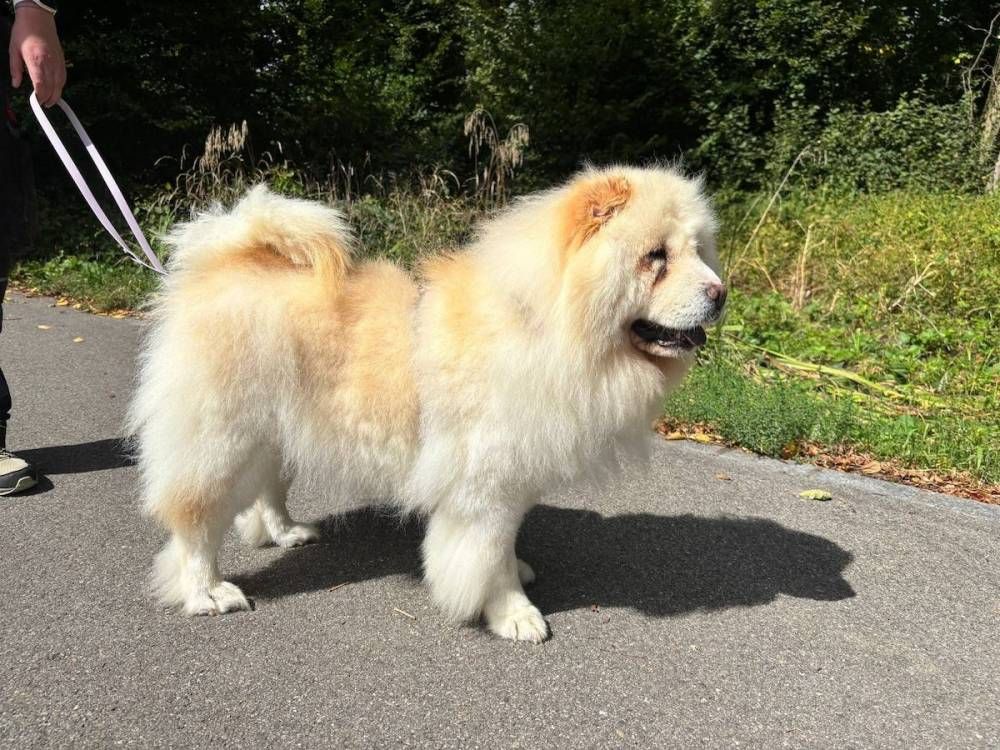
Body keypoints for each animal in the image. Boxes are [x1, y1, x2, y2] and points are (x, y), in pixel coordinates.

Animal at [129, 165, 724, 642]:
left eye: (699, 251)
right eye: (655, 258)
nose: (720, 292)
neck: (542, 322)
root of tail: (223, 260)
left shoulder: (508, 479)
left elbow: (505, 544)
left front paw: (518, 571)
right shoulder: (483, 486)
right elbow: (486, 558)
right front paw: (515, 615)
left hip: (275, 432)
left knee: (265, 491)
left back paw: (286, 533)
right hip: (221, 436)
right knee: (195, 523)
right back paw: (209, 592)